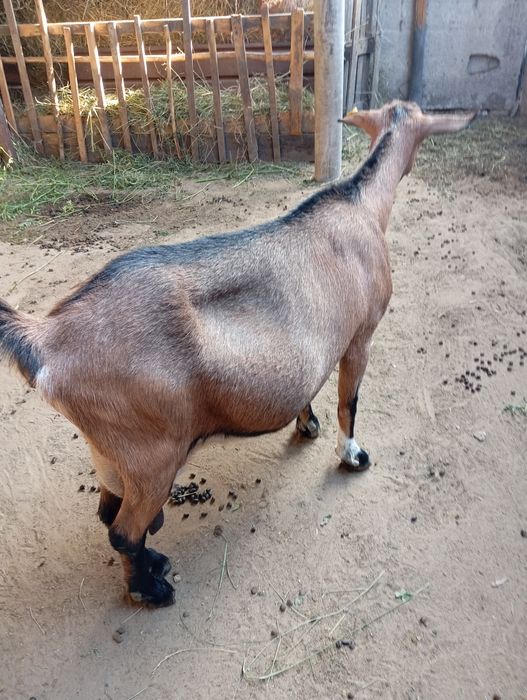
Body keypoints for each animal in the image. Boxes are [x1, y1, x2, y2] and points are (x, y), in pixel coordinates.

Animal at [0, 101, 475, 608]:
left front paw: (307, 424)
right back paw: (153, 590)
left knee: (109, 511)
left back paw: (154, 562)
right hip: (152, 456)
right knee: (123, 531)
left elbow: (307, 388)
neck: (359, 205)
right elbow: (349, 402)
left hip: (110, 450)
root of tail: (47, 338)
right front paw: (353, 456)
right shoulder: (361, 335)